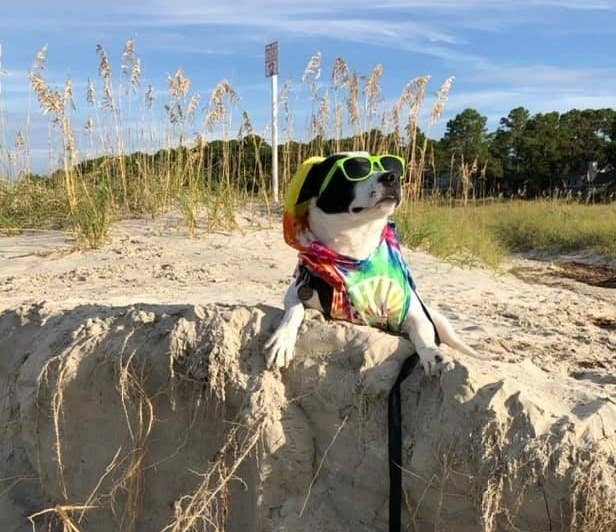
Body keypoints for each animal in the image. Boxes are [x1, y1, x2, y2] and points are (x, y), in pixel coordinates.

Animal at [264, 152, 476, 376]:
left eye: (391, 165)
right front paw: (281, 341)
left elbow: (423, 332)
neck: (355, 253)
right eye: (356, 169)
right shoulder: (298, 289)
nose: (392, 177)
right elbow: (294, 310)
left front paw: (431, 354)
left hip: (440, 321)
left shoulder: (412, 310)